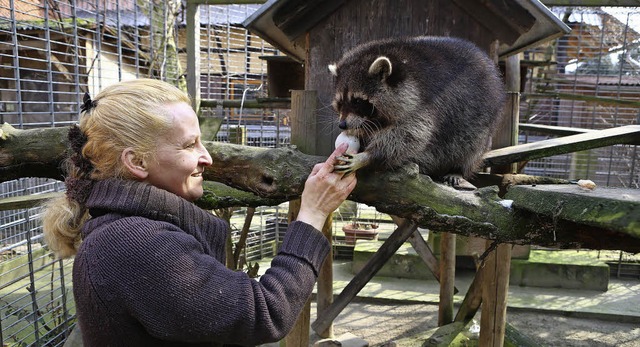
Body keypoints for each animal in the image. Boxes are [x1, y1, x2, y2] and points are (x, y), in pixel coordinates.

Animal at [330, 35, 504, 189]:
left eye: (357, 101)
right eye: (340, 102)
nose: (342, 125)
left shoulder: (426, 103)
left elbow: (411, 135)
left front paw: (369, 156)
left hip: (482, 121)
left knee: (471, 144)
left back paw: (458, 169)